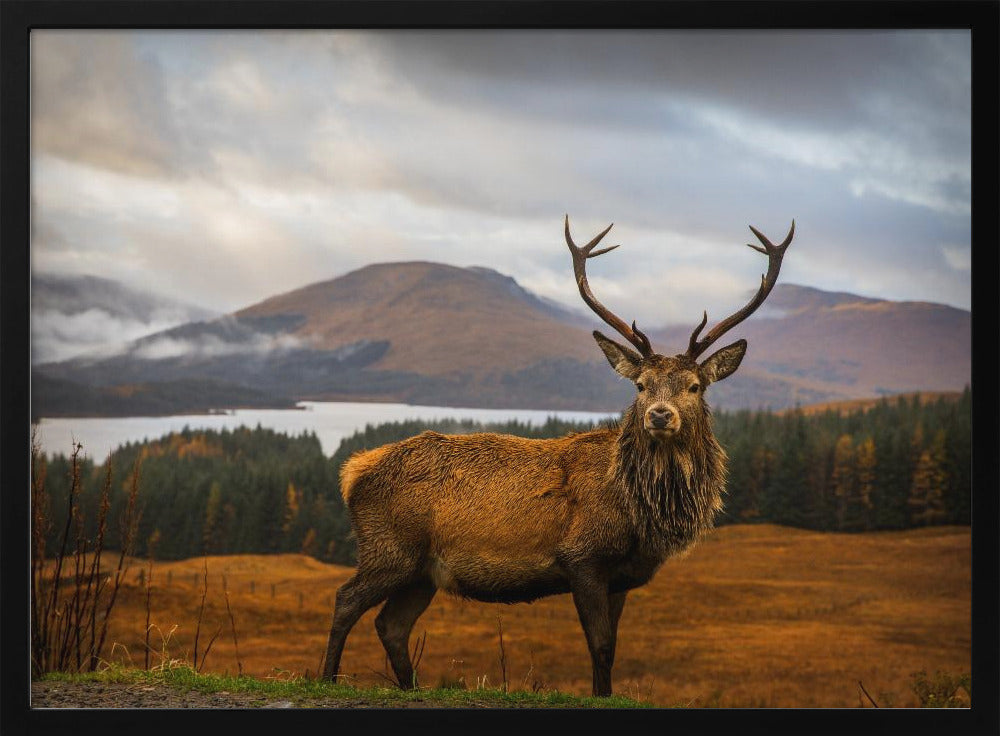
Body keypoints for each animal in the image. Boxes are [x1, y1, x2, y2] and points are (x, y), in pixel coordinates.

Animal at [321, 215, 795, 697]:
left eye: (695, 386)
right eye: (640, 385)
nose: (660, 415)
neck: (640, 514)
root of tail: (353, 471)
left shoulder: (621, 577)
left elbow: (612, 649)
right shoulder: (581, 557)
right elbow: (600, 646)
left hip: (422, 572)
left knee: (391, 625)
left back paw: (410, 687)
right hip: (389, 548)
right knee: (345, 600)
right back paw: (326, 677)